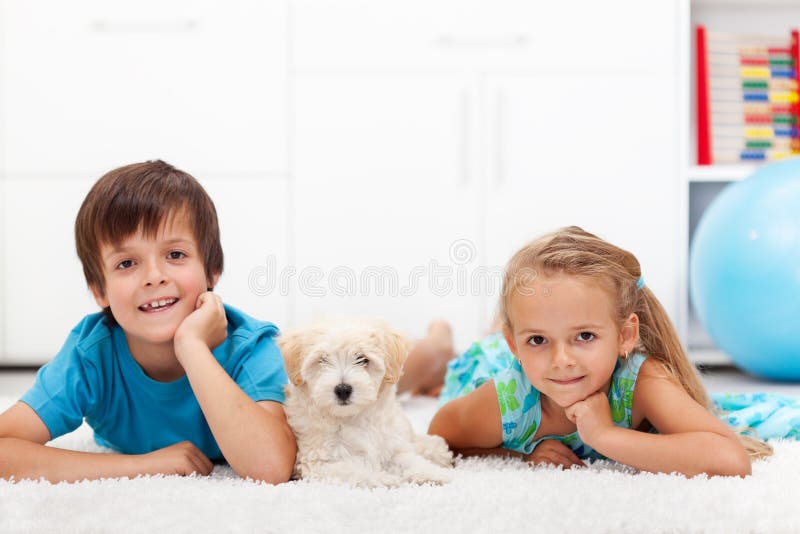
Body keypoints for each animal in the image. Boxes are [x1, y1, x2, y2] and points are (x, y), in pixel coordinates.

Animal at [278, 320, 454, 488]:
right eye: (322, 360)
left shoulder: (390, 445)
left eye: (362, 359)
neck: (352, 417)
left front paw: (434, 474)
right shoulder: (319, 461)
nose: (343, 390)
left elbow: (409, 459)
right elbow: (352, 471)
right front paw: (383, 479)